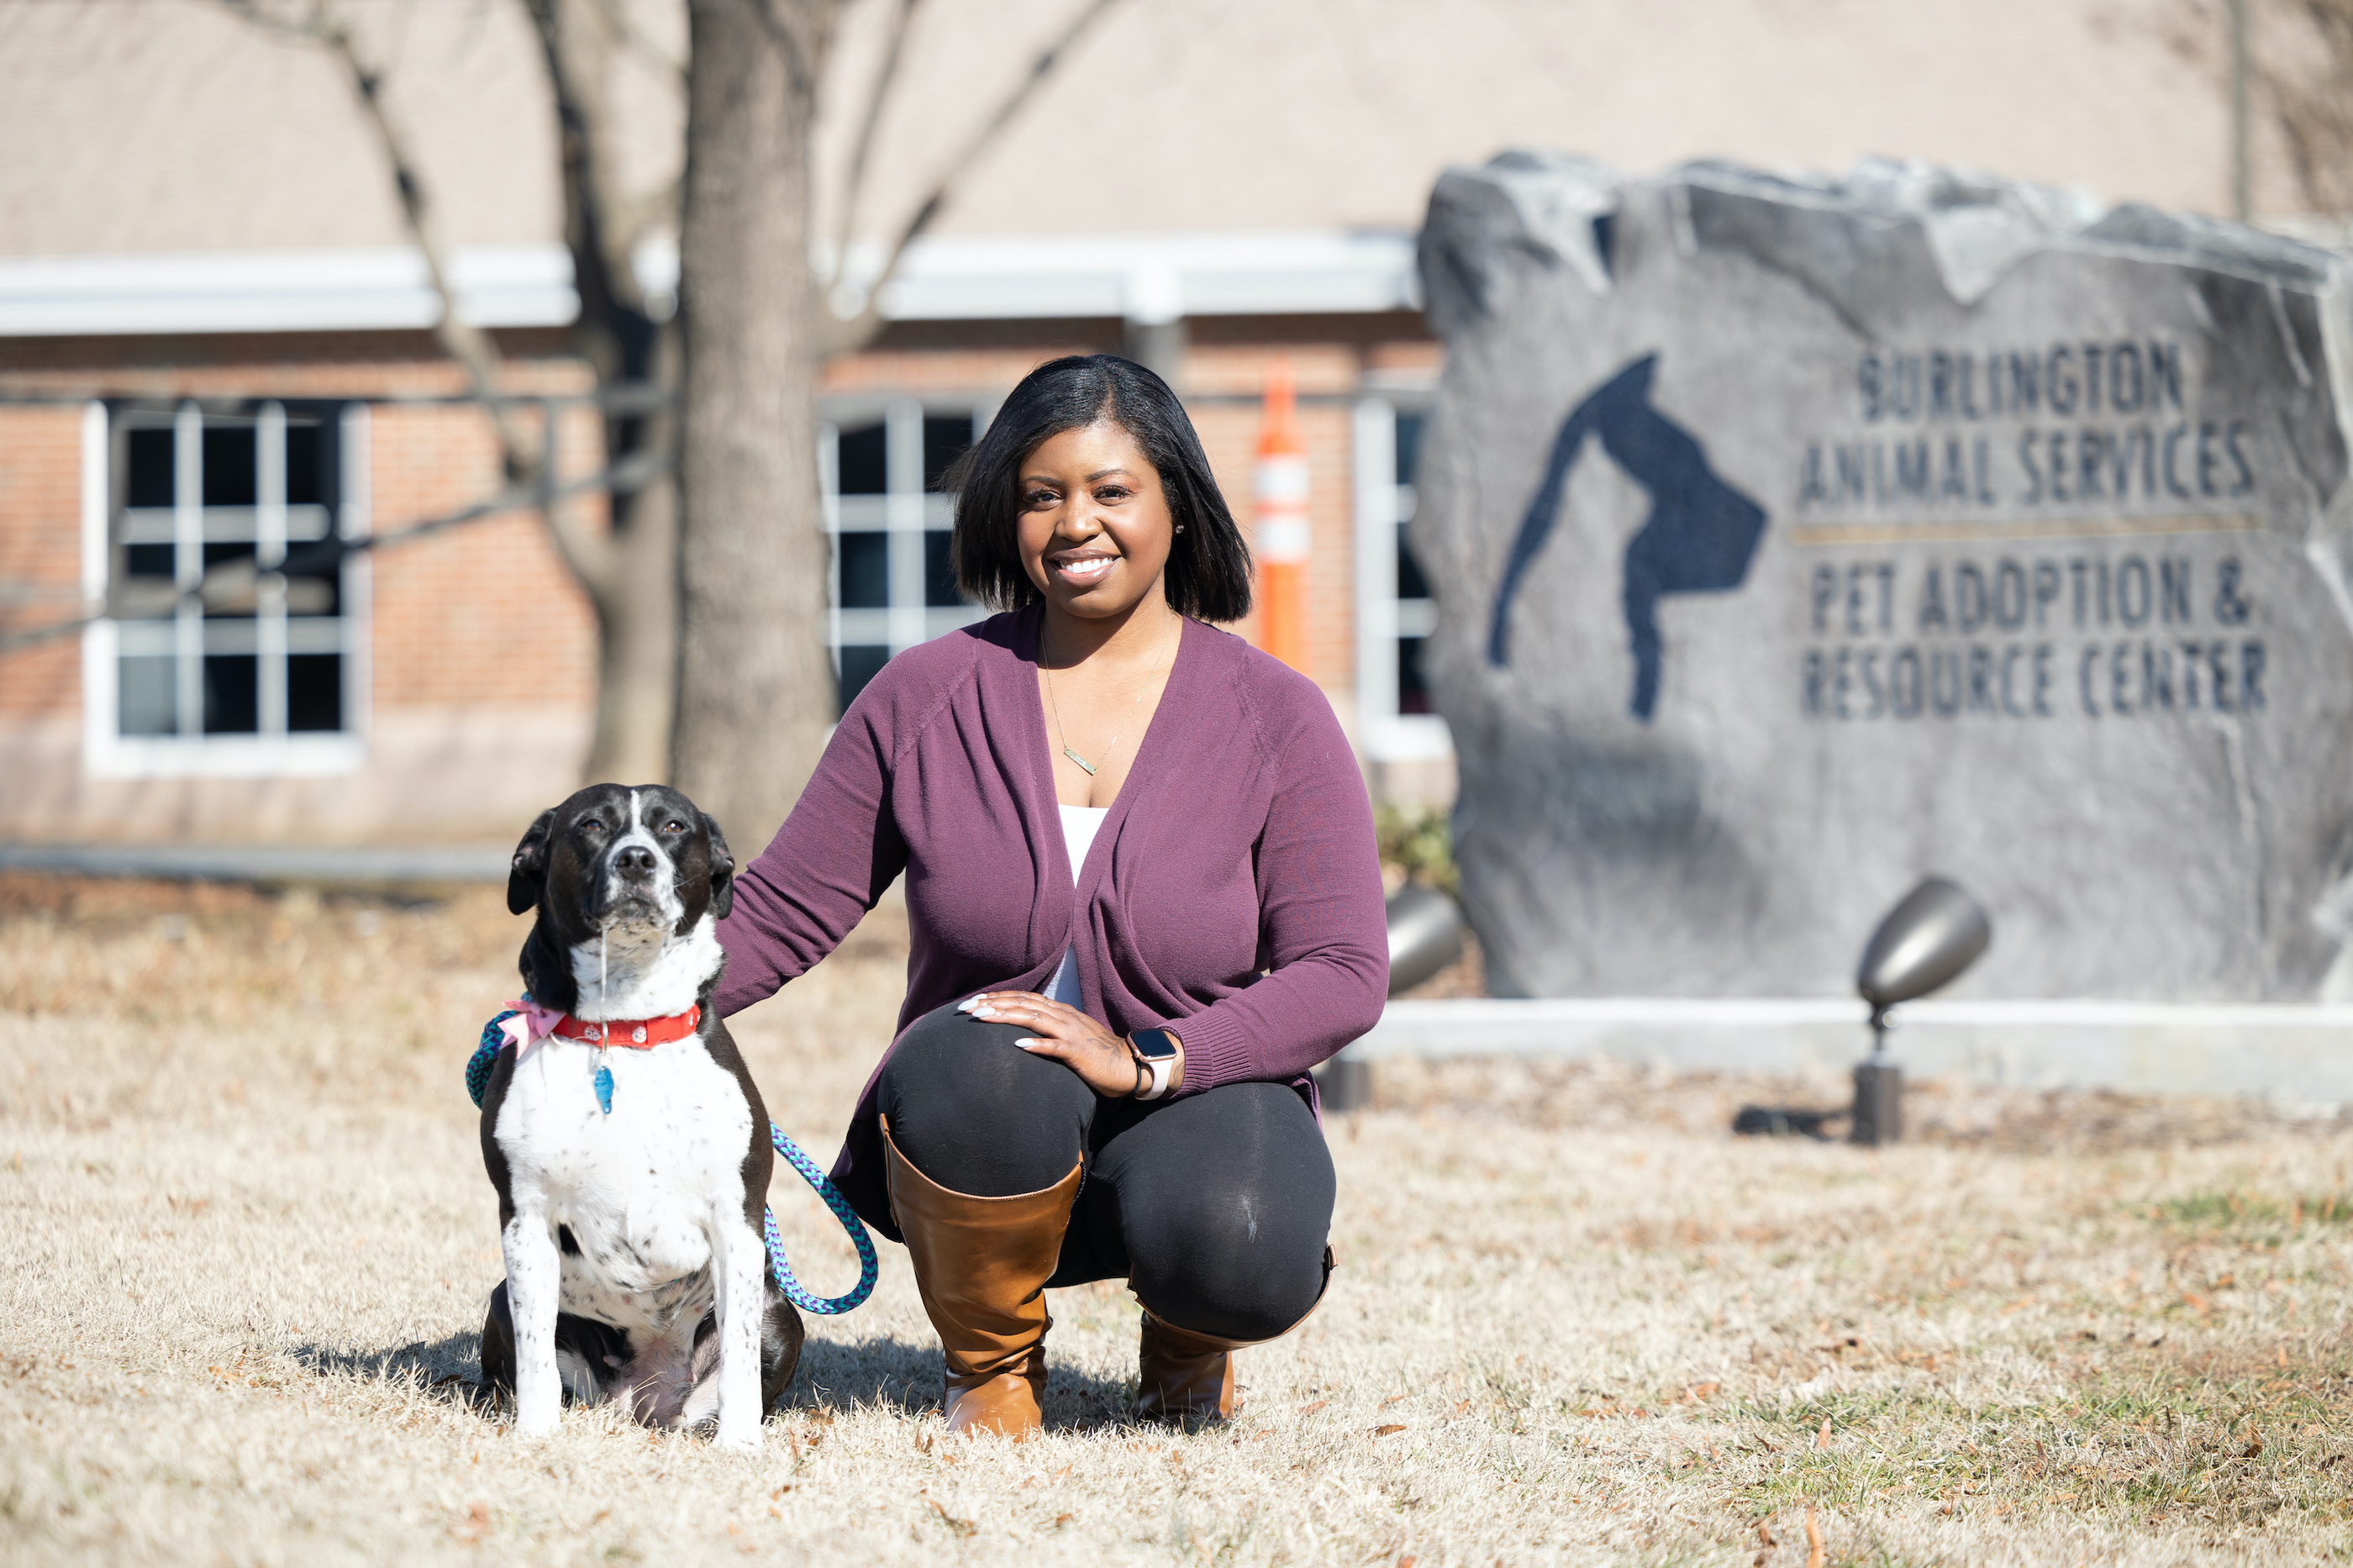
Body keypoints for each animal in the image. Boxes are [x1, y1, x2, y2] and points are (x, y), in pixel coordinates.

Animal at [480, 776, 809, 1440]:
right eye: (591, 825)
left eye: (674, 827)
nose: (637, 860)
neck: (625, 1027)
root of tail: (645, 1399)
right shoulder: (525, 1217)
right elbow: (534, 1356)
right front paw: (534, 1436)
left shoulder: (736, 1222)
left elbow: (738, 1363)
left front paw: (741, 1445)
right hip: (505, 1299)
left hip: (779, 1313)